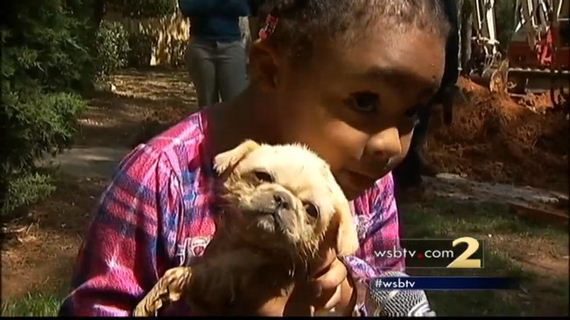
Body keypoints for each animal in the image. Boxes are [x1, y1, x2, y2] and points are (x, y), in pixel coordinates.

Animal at [133, 139, 356, 316]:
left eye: (311, 210)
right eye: (262, 176)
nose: (283, 199)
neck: (255, 245)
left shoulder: (235, 269)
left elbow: (198, 273)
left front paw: (167, 287)